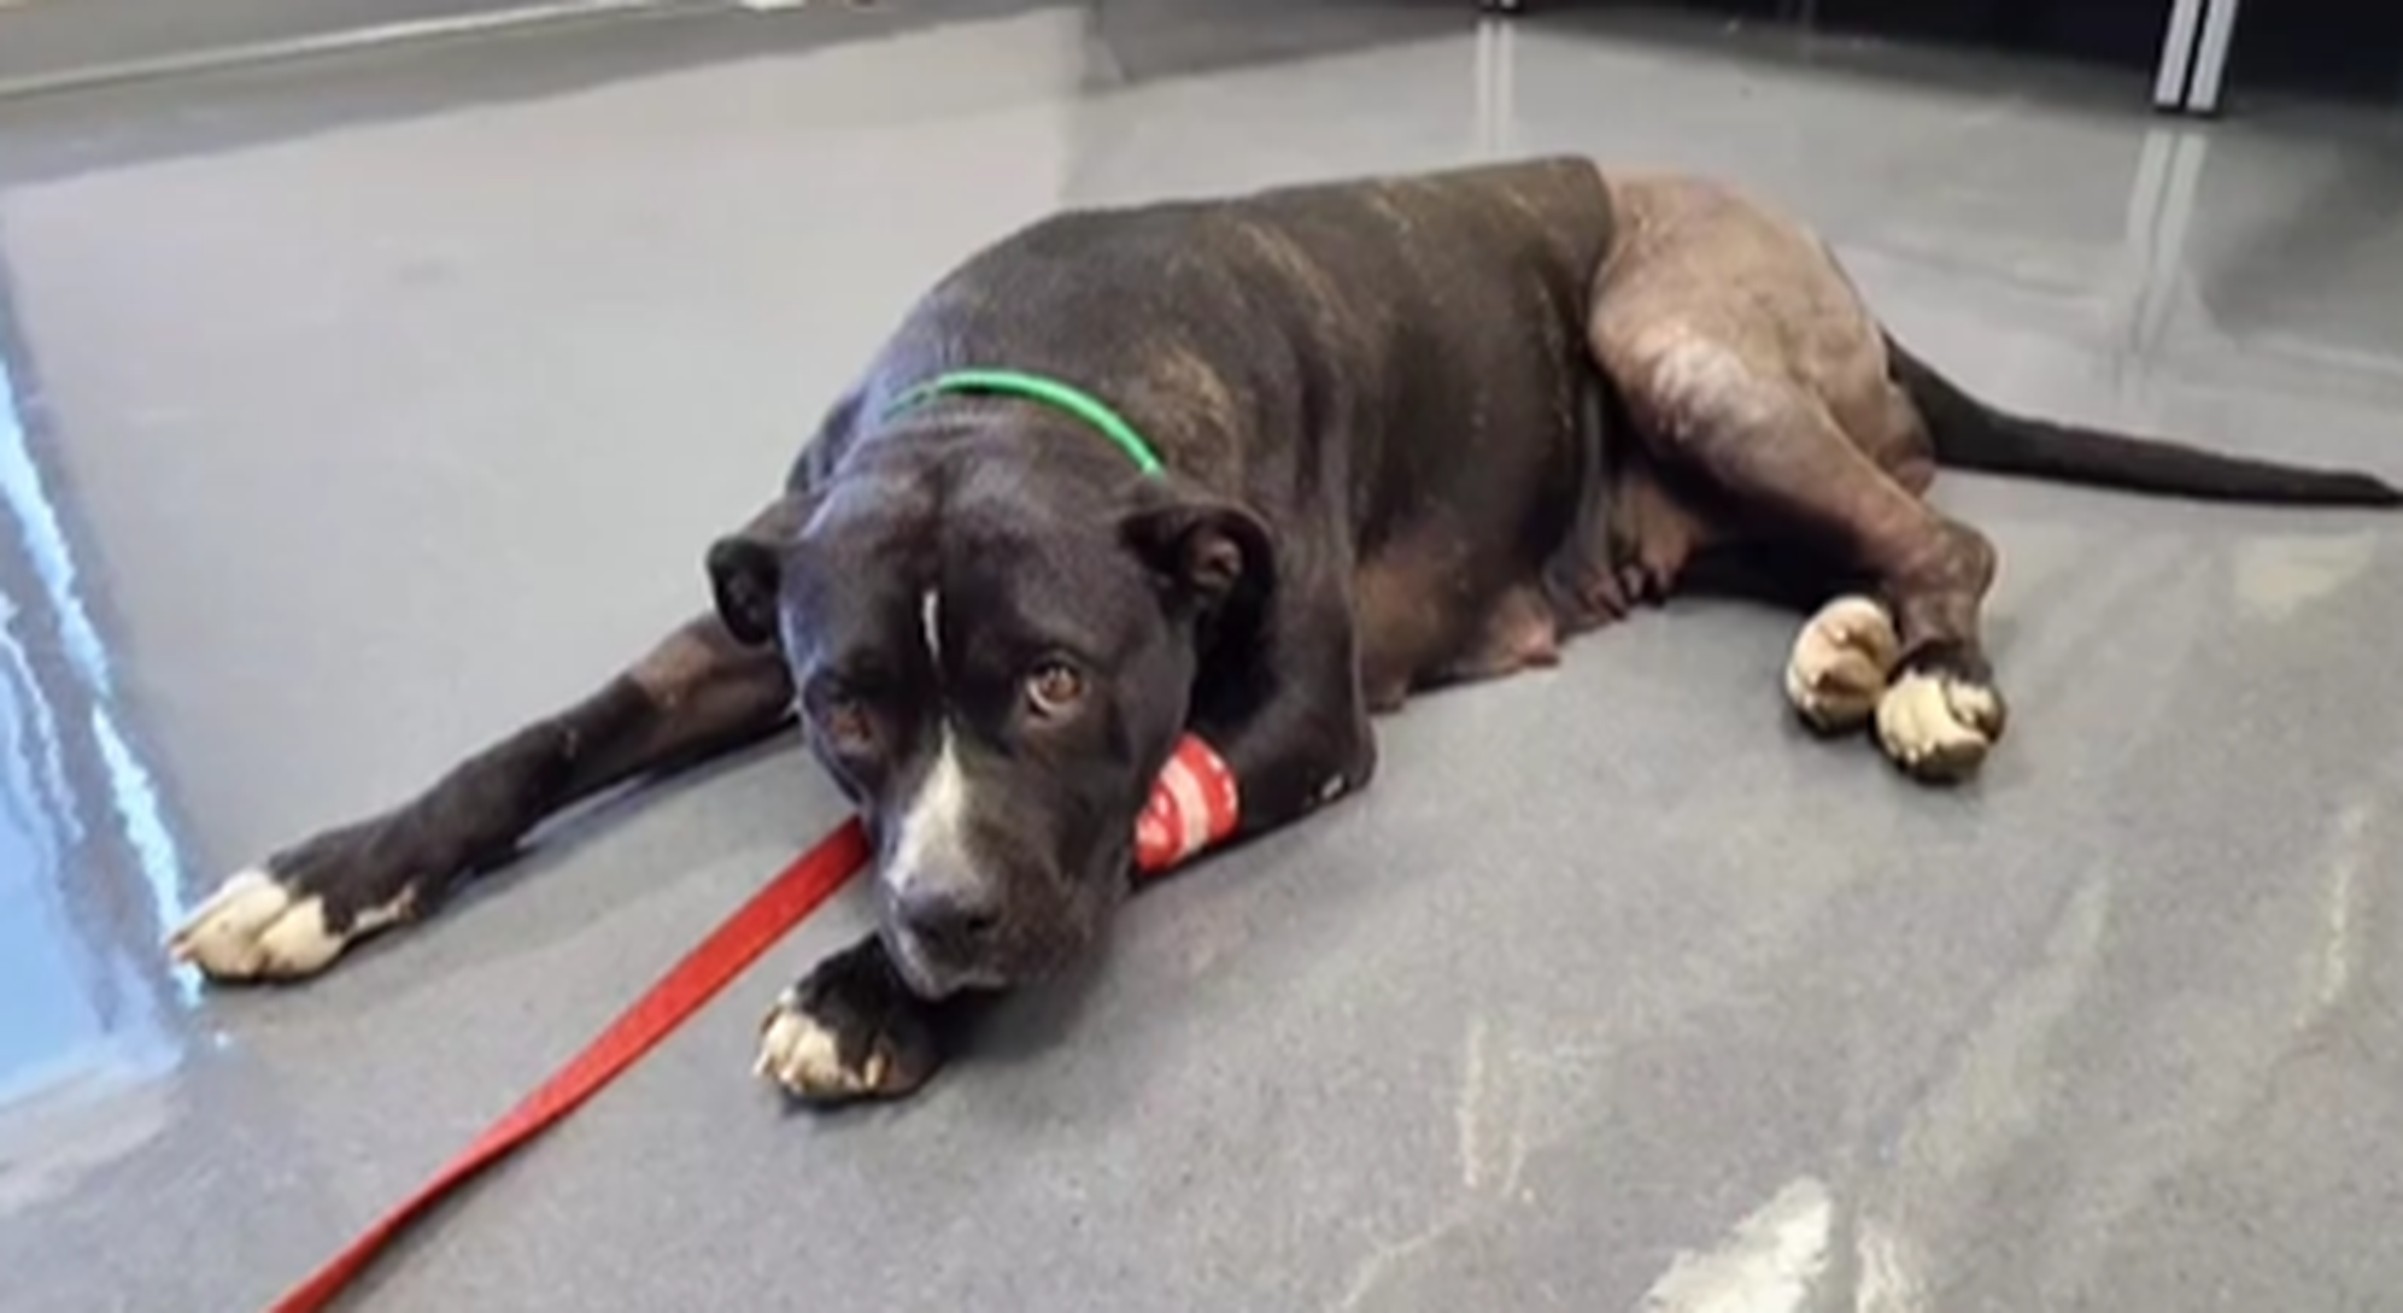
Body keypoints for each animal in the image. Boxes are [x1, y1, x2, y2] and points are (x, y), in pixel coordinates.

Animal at [159, 158, 2393, 1096]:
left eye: (1055, 681)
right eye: (843, 712)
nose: (933, 916)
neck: (1017, 379)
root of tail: (1822, 251)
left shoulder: (1296, 717)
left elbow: (1136, 821)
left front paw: (863, 990)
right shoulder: (758, 597)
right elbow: (541, 729)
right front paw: (328, 874)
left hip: (1673, 337)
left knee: (1952, 535)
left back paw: (1926, 679)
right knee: (1861, 525)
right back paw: (1843, 643)